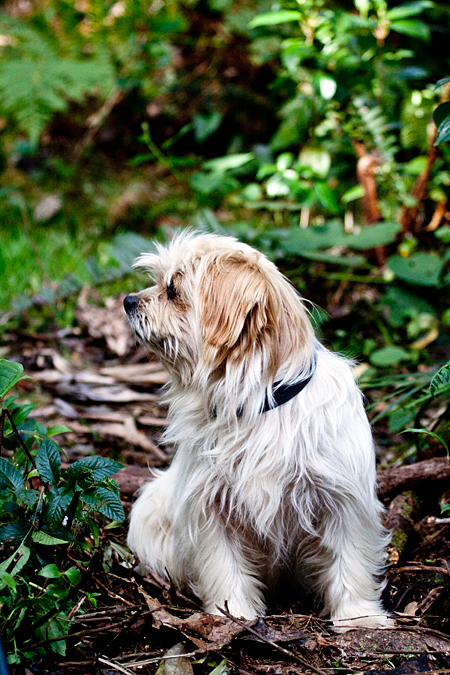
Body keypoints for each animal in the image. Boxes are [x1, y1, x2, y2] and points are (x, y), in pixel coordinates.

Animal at [123, 231, 390, 628]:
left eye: (172, 290)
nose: (128, 301)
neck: (257, 405)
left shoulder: (343, 501)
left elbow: (350, 560)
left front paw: (359, 618)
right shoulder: (211, 507)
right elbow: (224, 565)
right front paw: (234, 614)